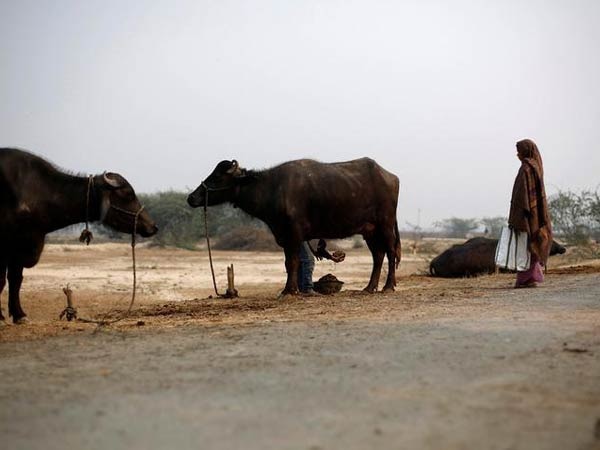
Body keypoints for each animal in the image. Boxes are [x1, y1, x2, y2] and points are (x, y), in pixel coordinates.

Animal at [0, 149, 157, 324]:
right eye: (128, 194)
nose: (153, 227)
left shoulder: (20, 246)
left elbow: (16, 279)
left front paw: (19, 315)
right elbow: (2, 280)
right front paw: (4, 316)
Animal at [188, 159, 404, 296]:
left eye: (217, 177)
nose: (192, 197)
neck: (272, 189)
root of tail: (391, 177)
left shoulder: (293, 233)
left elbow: (293, 262)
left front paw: (289, 290)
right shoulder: (284, 234)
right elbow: (290, 262)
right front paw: (293, 288)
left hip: (385, 224)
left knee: (390, 252)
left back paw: (388, 286)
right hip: (369, 230)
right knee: (378, 255)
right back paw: (369, 287)